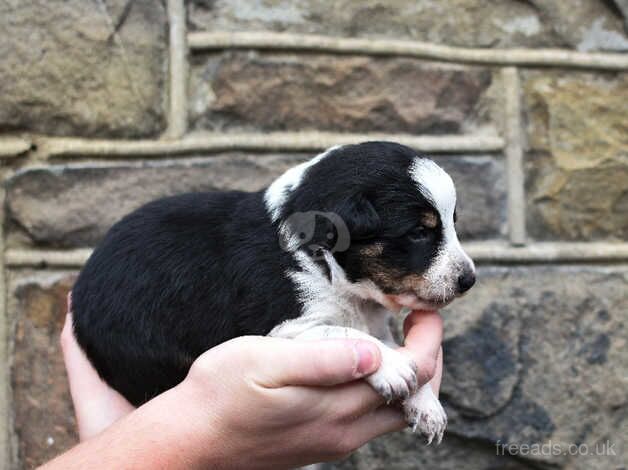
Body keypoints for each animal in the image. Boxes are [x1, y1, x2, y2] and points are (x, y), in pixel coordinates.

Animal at [72, 140, 476, 444]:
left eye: (452, 224)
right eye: (419, 232)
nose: (469, 279)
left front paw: (427, 405)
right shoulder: (284, 327)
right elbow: (346, 332)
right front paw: (393, 367)